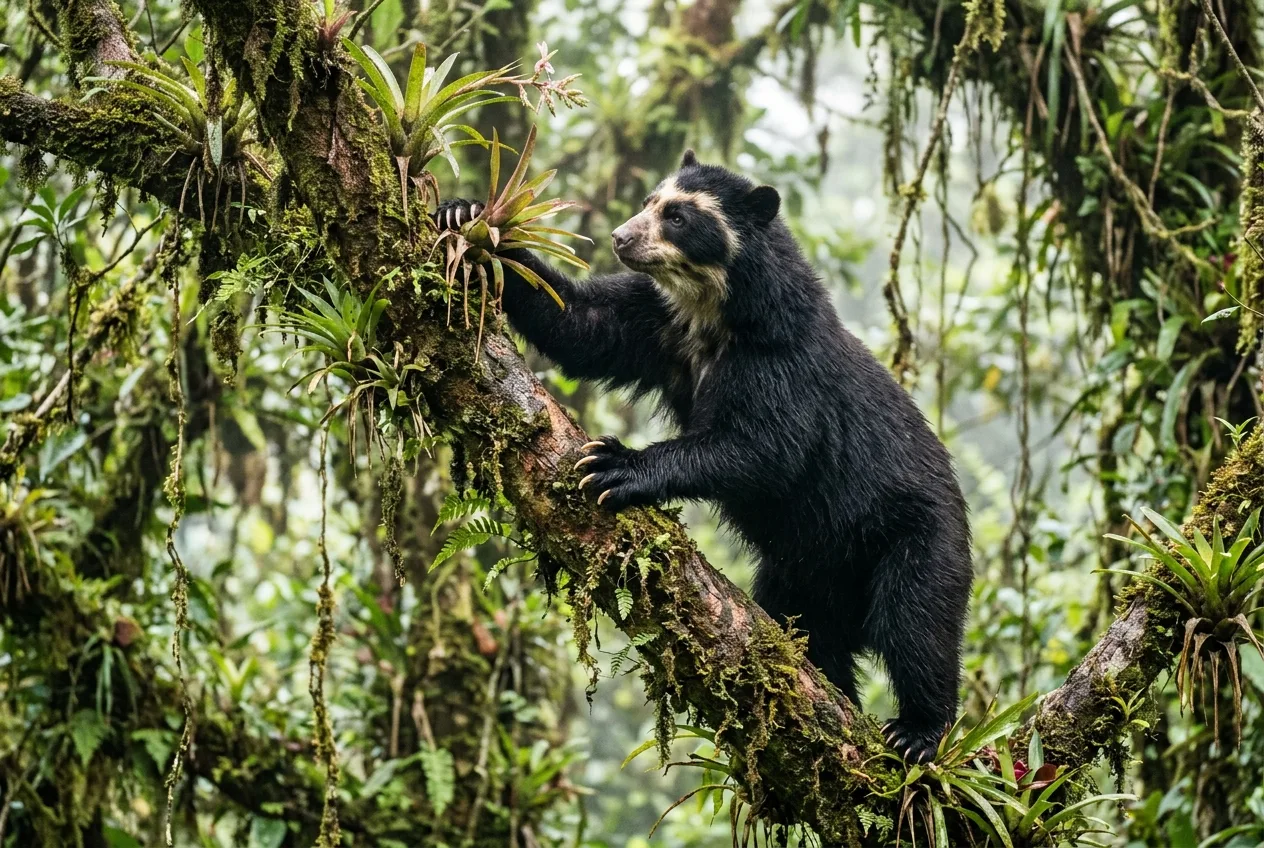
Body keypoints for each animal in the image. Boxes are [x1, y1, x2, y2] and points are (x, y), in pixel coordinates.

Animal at [434, 149, 973, 763]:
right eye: (650, 201)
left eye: (678, 218)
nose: (620, 237)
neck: (712, 312)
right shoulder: (658, 322)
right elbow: (579, 323)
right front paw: (465, 215)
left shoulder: (781, 365)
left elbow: (762, 448)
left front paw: (614, 465)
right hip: (803, 571)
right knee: (813, 630)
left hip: (916, 539)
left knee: (917, 626)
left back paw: (917, 733)